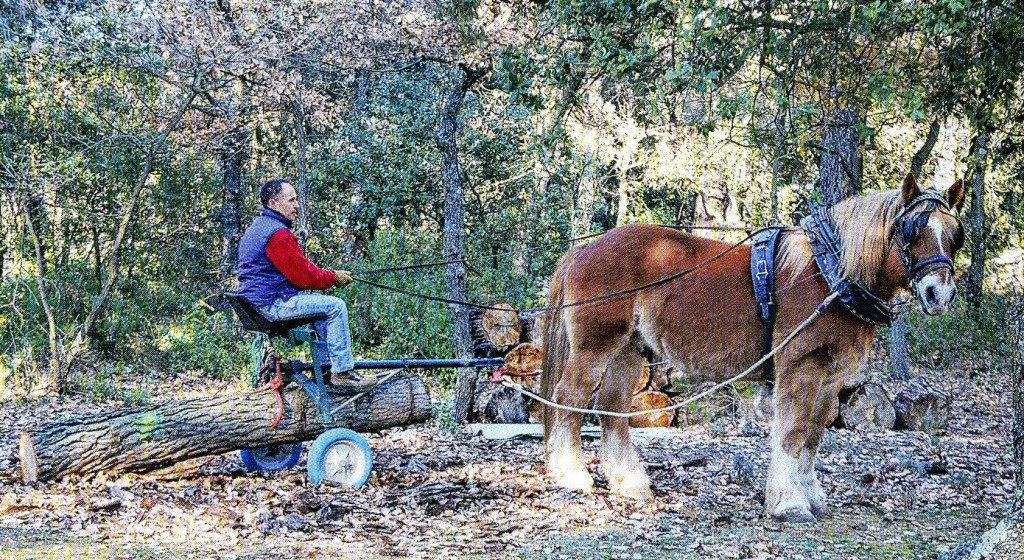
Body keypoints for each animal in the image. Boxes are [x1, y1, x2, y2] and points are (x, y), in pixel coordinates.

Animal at [540, 174, 962, 522]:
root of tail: (582, 251)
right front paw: (789, 503)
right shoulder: (801, 365)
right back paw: (571, 475)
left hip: (628, 349)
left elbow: (813, 433)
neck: (830, 275)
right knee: (569, 397)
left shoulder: (829, 376)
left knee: (611, 408)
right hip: (596, 346)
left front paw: (811, 496)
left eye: (954, 235)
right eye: (913, 230)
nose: (938, 293)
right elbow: (793, 431)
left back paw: (629, 483)